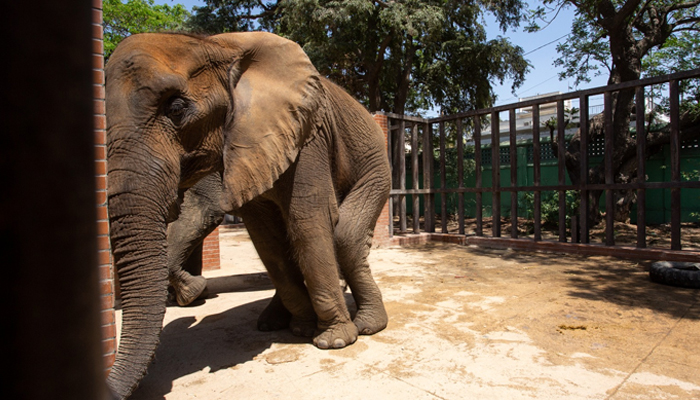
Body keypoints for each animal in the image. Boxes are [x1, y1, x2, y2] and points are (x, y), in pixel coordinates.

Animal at [106, 31, 392, 396]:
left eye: (176, 108)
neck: (214, 45)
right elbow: (266, 236)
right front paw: (302, 328)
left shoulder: (308, 135)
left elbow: (308, 221)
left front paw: (333, 341)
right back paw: (272, 322)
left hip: (376, 167)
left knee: (345, 236)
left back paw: (368, 326)